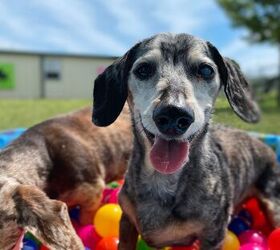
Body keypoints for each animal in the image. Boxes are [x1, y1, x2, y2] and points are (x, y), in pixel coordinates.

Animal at [92, 33, 280, 250]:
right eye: (143, 69)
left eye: (206, 70)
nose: (173, 114)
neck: (163, 178)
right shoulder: (127, 222)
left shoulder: (213, 235)